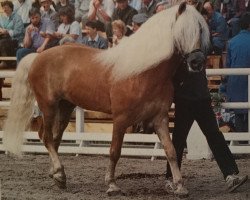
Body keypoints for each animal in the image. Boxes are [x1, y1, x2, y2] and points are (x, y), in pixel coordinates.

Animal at [2, 1, 210, 197]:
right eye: (182, 30)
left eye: (200, 29)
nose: (196, 62)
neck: (144, 72)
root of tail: (37, 57)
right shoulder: (121, 119)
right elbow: (114, 151)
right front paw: (112, 185)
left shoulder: (160, 118)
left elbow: (171, 151)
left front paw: (180, 186)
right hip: (49, 106)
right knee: (46, 138)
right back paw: (59, 173)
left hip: (65, 107)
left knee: (53, 139)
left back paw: (57, 175)